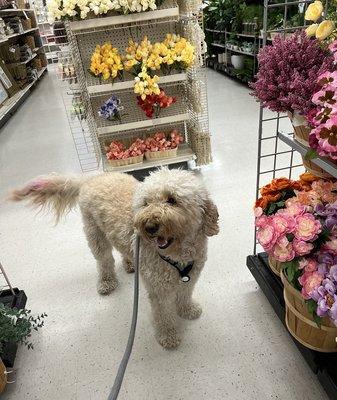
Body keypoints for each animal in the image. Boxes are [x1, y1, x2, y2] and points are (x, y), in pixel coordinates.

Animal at [11, 167, 218, 348]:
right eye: (146, 203)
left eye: (172, 200)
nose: (149, 226)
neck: (178, 255)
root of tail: (91, 177)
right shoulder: (158, 289)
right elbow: (163, 315)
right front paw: (168, 336)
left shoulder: (190, 278)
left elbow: (184, 296)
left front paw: (187, 310)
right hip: (95, 235)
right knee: (104, 261)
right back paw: (106, 281)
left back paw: (130, 263)